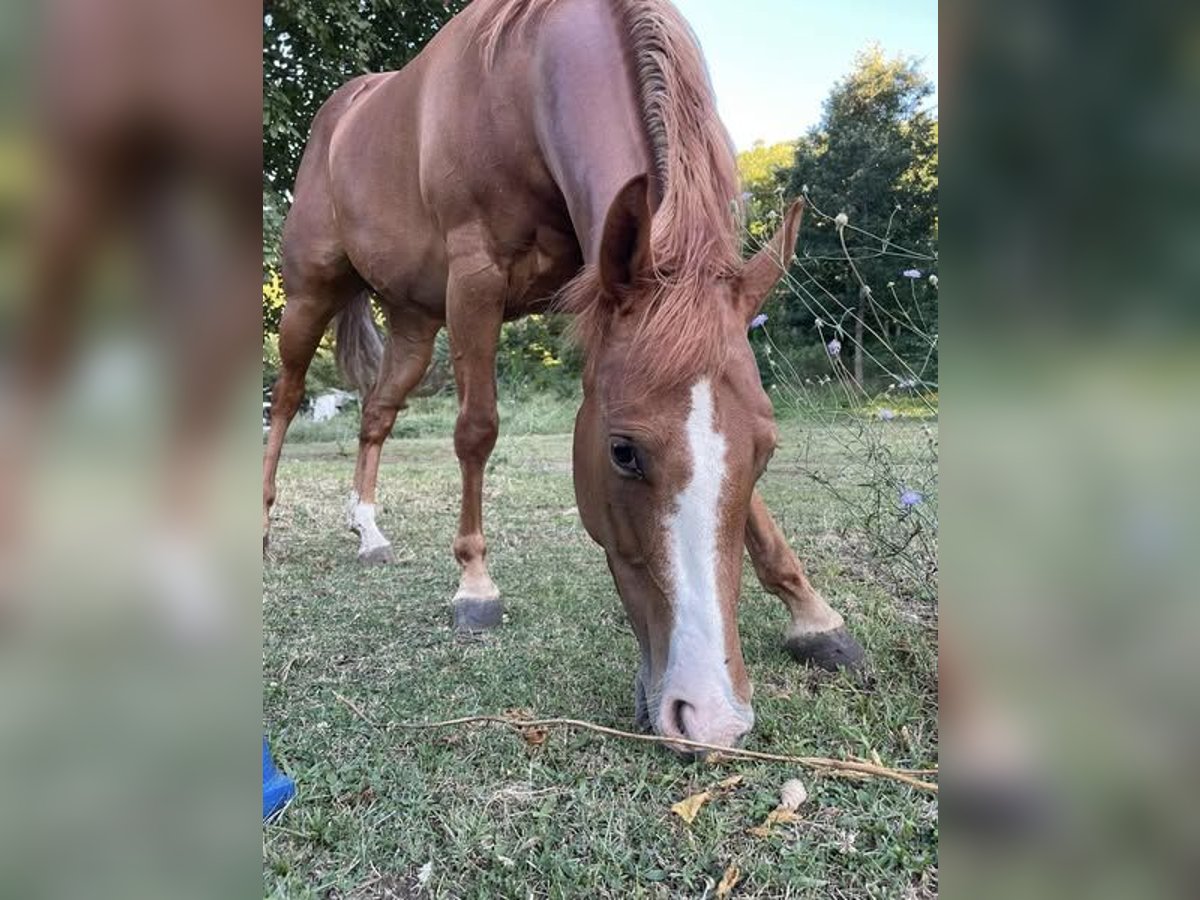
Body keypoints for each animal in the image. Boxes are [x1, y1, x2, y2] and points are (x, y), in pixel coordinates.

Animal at [262, 0, 864, 748]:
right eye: (623, 453)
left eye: (767, 448)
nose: (711, 715)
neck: (521, 80)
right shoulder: (477, 279)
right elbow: (477, 429)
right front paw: (475, 587)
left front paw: (814, 616)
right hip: (309, 293)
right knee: (286, 397)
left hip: (412, 320)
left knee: (376, 411)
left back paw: (369, 533)